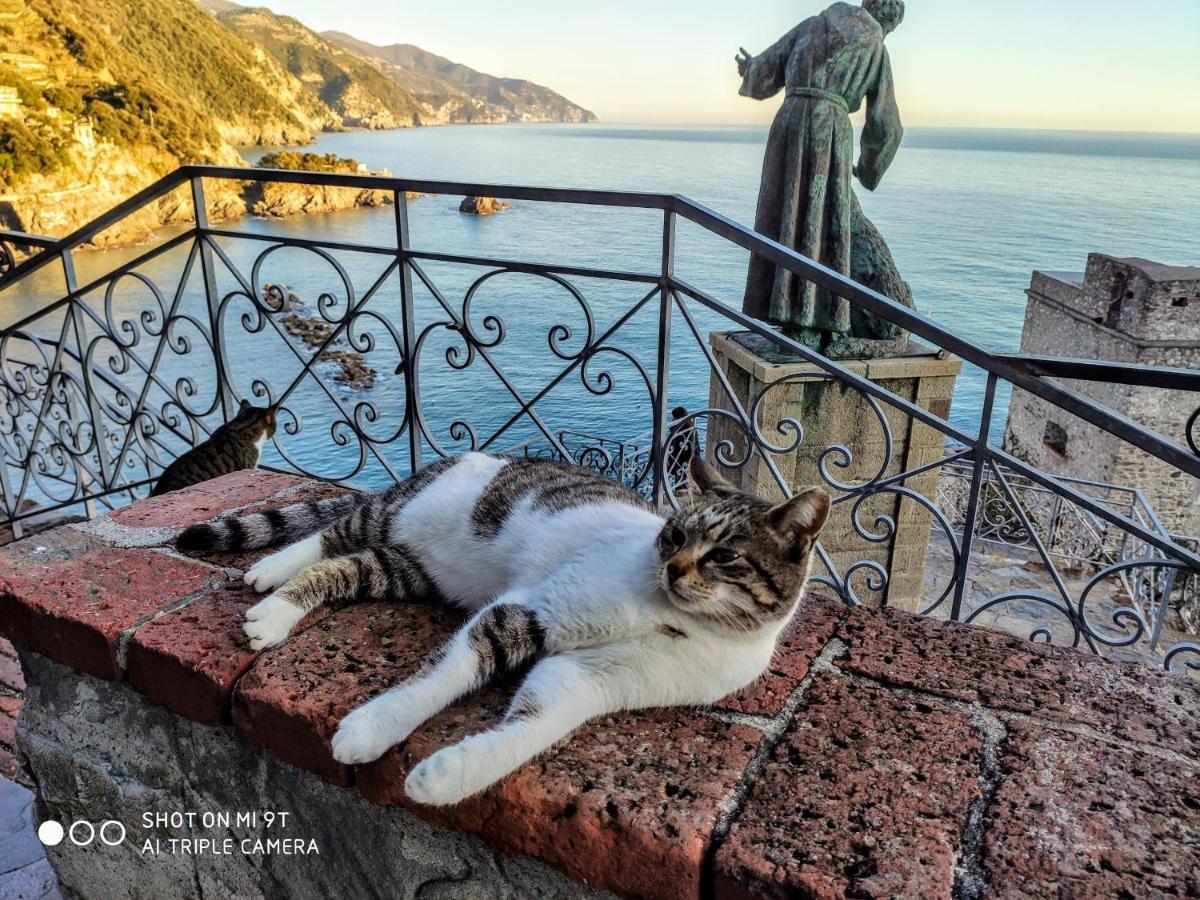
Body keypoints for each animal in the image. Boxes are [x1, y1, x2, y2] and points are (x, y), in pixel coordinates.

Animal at [177, 453, 830, 806]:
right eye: (673, 535)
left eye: (725, 556)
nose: (671, 566)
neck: (676, 623)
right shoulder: (530, 608)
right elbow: (439, 680)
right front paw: (369, 730)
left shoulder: (590, 682)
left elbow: (530, 731)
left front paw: (445, 777)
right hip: (392, 517)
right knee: (327, 536)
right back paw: (270, 589)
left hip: (407, 569)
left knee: (343, 566)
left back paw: (278, 591)